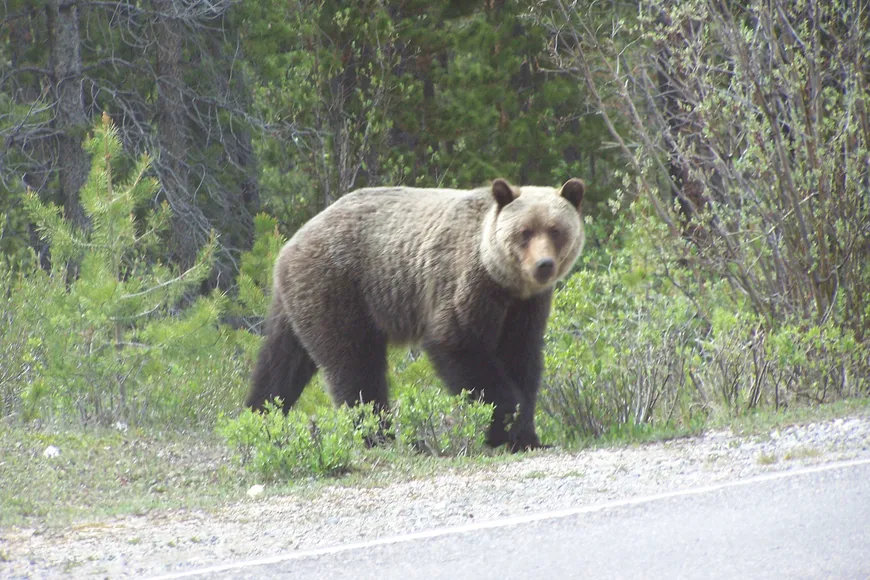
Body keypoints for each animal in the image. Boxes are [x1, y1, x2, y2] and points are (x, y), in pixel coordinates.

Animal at [246, 177, 586, 451]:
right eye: (524, 232)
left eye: (556, 230)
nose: (543, 265)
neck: (506, 283)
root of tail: (290, 243)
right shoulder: (465, 282)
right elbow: (458, 344)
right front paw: (504, 425)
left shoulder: (526, 306)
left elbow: (522, 358)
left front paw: (528, 435)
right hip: (339, 287)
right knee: (354, 364)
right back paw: (381, 437)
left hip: (295, 303)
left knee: (281, 363)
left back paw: (258, 420)